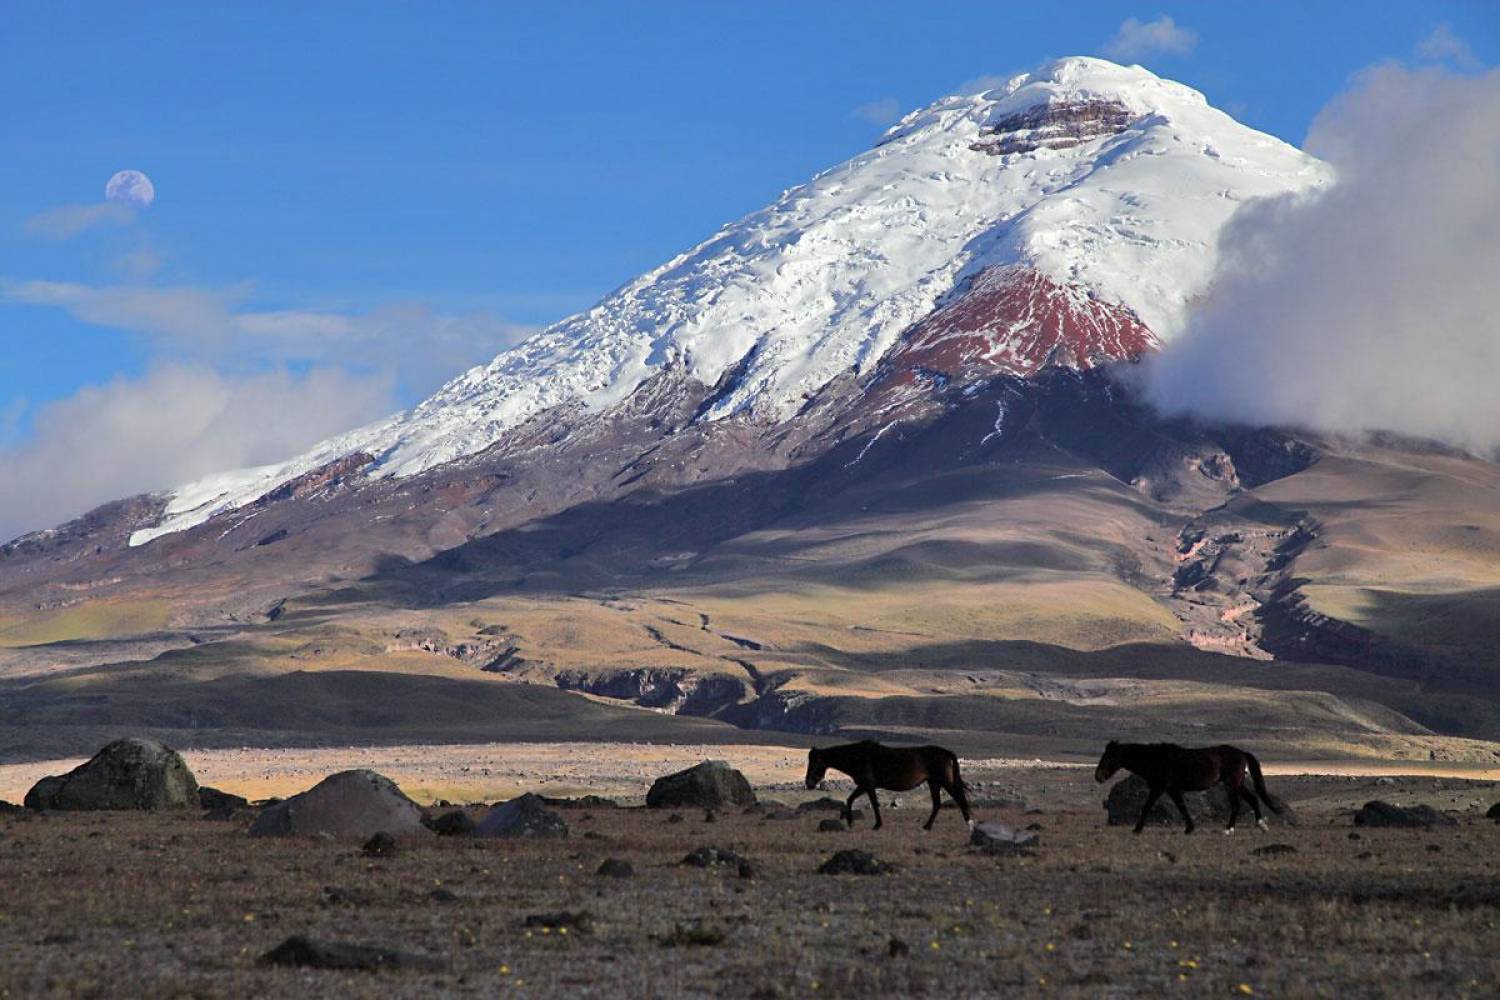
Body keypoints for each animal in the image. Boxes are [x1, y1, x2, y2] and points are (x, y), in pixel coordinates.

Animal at [810, 740, 972, 833]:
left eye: (814, 762)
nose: (808, 783)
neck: (858, 757)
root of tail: (946, 753)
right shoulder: (866, 786)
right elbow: (853, 800)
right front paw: (852, 822)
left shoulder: (867, 785)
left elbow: (869, 803)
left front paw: (872, 825)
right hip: (934, 783)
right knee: (937, 804)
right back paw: (927, 826)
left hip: (944, 782)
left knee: (960, 799)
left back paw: (969, 825)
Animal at [1098, 743, 1284, 839]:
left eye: (1108, 757)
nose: (1097, 776)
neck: (1156, 759)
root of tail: (1242, 753)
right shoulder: (1172, 789)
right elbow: (1182, 807)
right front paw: (1189, 828)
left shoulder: (1159, 787)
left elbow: (1146, 807)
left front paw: (1136, 830)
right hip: (1237, 784)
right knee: (1252, 799)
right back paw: (1261, 826)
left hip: (1231, 784)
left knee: (1236, 804)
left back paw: (1229, 829)